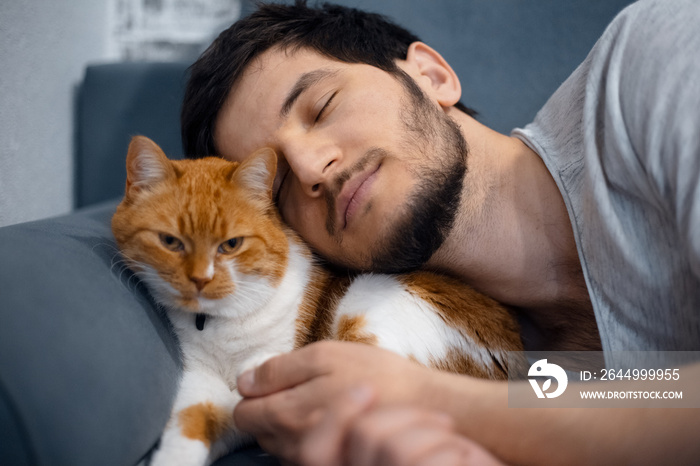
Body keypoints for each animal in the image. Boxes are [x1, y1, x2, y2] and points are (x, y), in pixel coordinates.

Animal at [112, 136, 524, 466]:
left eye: (231, 244)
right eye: (170, 242)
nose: (201, 279)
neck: (220, 324)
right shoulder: (201, 385)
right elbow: (192, 424)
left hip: (366, 303)